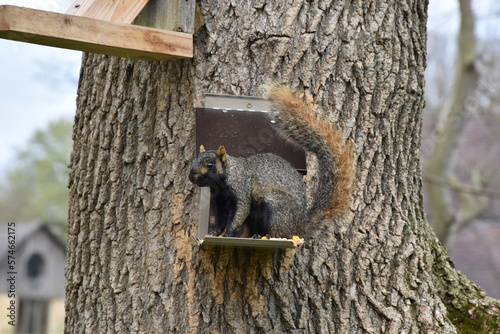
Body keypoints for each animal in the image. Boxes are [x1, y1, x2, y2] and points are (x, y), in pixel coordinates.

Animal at [188, 85, 356, 239]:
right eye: (193, 161)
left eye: (210, 165)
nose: (191, 177)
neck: (223, 182)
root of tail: (298, 227)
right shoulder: (219, 201)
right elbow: (220, 219)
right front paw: (215, 233)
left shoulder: (241, 191)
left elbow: (239, 213)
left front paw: (229, 234)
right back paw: (256, 235)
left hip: (275, 205)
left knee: (278, 231)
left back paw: (268, 236)